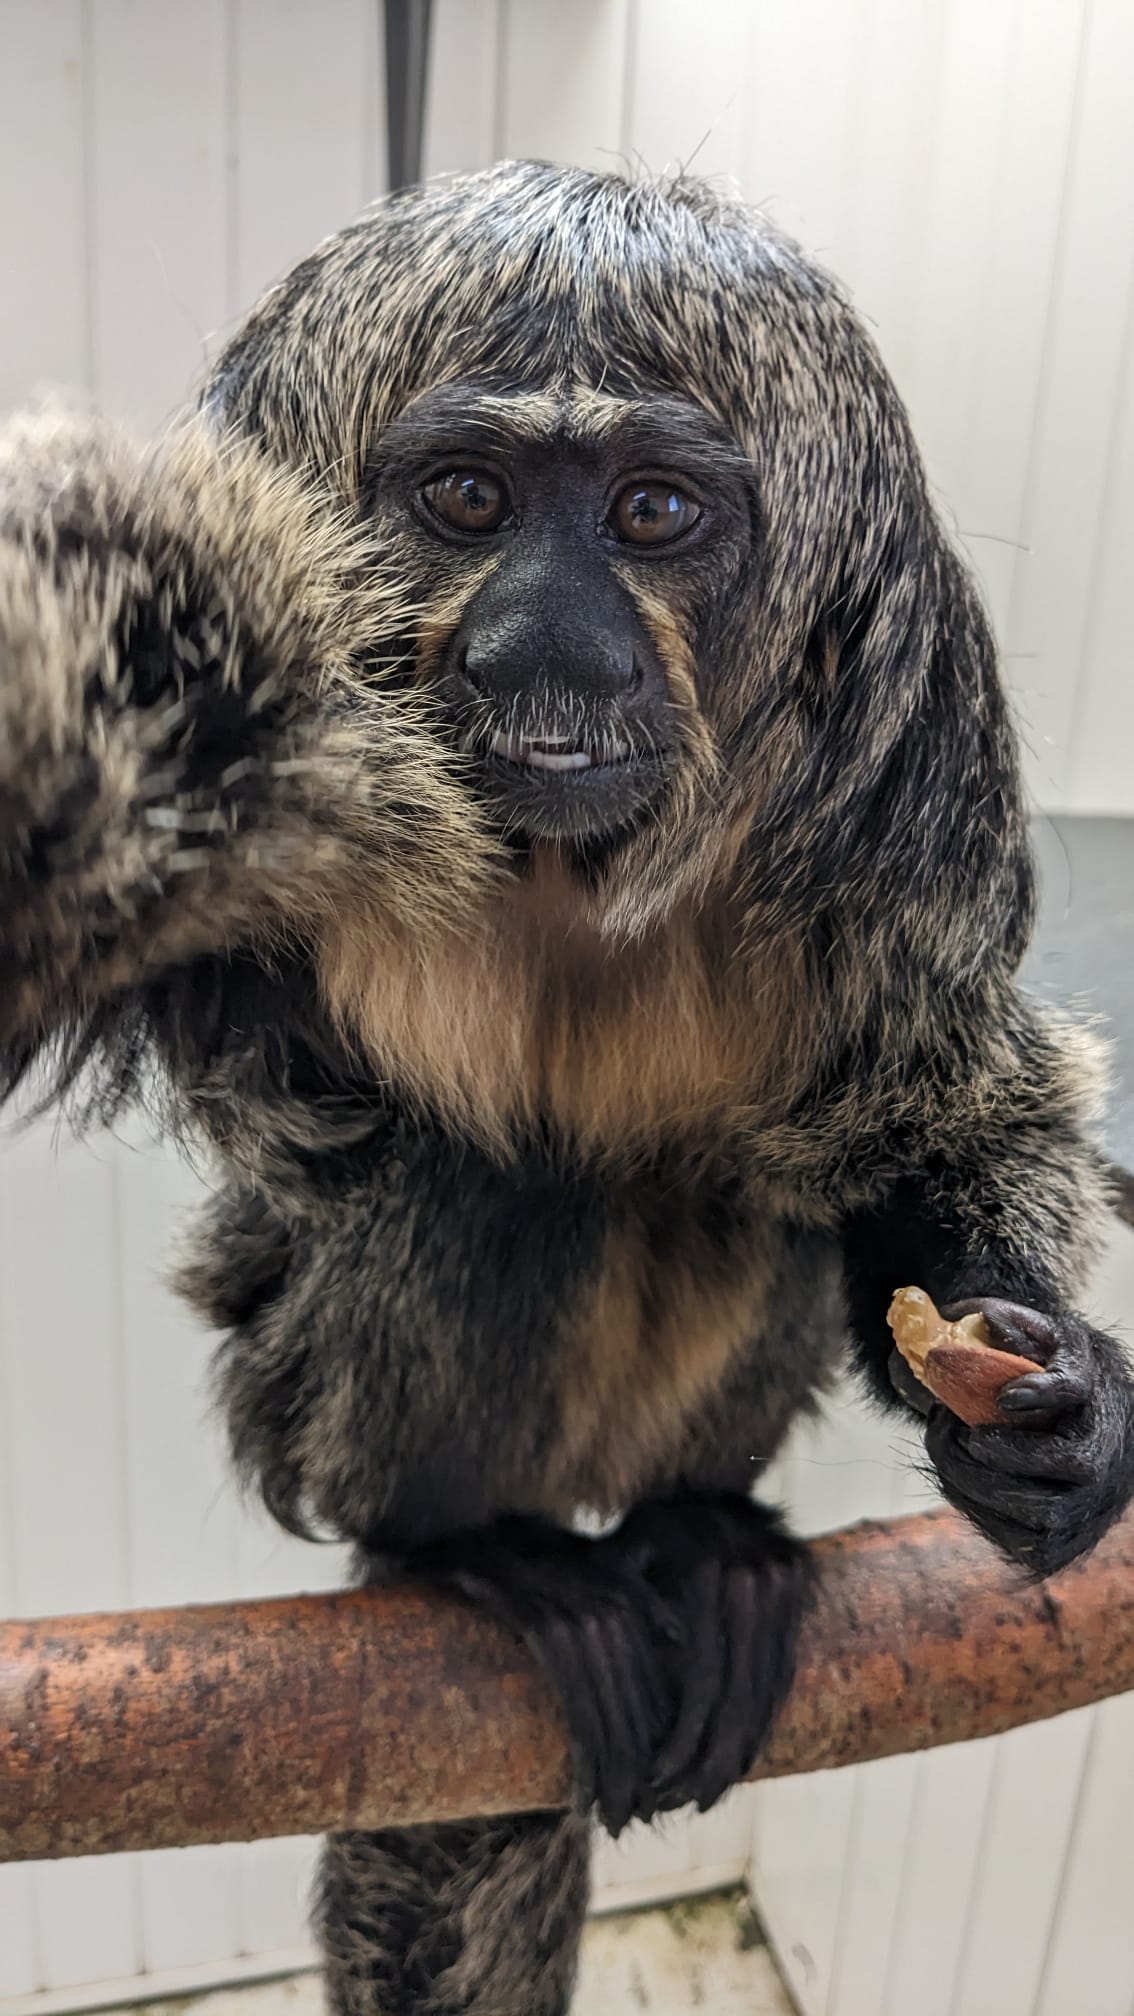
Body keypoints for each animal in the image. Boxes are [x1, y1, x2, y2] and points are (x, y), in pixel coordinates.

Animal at [1, 160, 1132, 2016]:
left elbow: (930, 1100)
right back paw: (487, 1558)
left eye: (652, 515)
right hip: (298, 1411)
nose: (555, 646)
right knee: (475, 1192)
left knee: (741, 1191)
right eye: (467, 499)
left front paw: (1048, 1420)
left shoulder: (905, 750)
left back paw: (694, 1537)